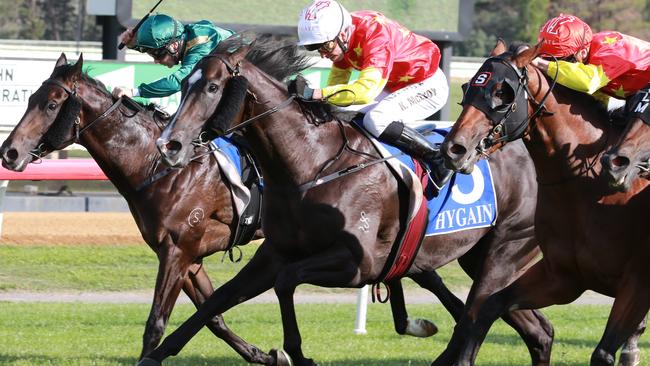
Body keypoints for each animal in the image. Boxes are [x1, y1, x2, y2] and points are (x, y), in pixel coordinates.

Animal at [0, 53, 466, 364]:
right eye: (32, 97)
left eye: (51, 102)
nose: (10, 152)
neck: (156, 165)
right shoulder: (188, 258)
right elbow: (215, 316)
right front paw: (263, 353)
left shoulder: (178, 251)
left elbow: (158, 321)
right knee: (418, 268)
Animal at [139, 35, 556, 366]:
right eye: (184, 83)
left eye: (212, 87)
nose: (169, 145)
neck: (311, 164)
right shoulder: (274, 252)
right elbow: (218, 301)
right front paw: (153, 356)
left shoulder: (360, 263)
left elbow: (286, 283)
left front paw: (297, 353)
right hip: (479, 256)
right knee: (538, 330)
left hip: (506, 249)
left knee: (478, 317)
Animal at [438, 40, 644, 366]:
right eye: (468, 86)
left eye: (502, 92)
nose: (453, 149)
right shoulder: (564, 277)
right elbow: (488, 309)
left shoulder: (636, 283)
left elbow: (602, 353)